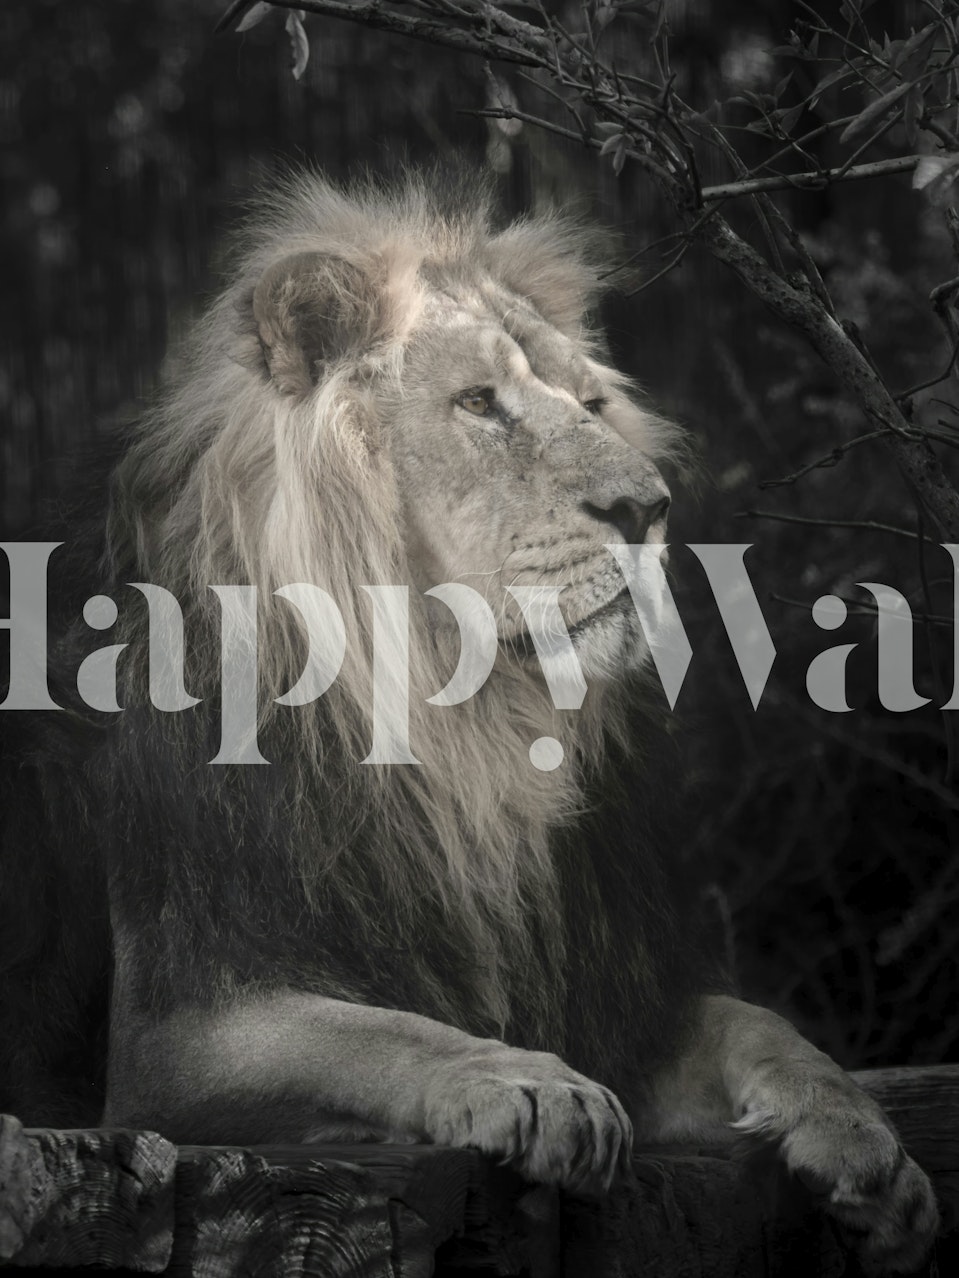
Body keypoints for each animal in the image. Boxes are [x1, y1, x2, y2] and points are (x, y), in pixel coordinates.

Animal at [0, 169, 939, 1273]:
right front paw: (530, 1086)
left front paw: (867, 1147)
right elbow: (373, 1032)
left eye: (591, 404)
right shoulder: (171, 1039)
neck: (460, 737)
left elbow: (756, 1023)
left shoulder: (605, 994)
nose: (646, 506)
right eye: (481, 404)